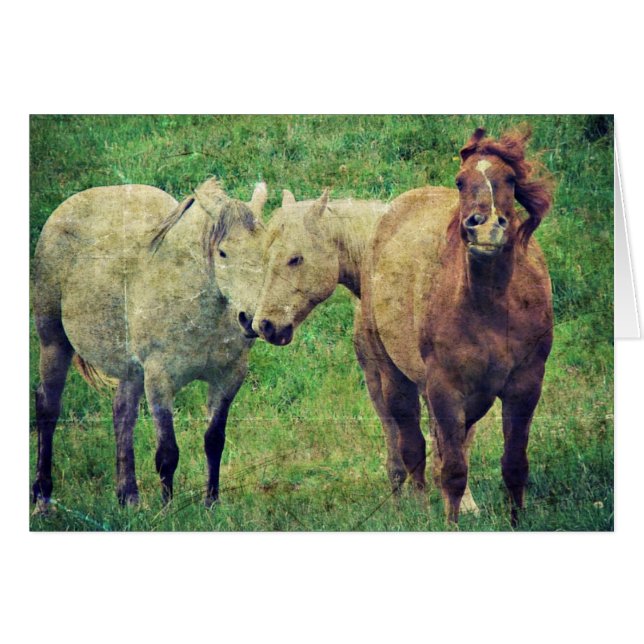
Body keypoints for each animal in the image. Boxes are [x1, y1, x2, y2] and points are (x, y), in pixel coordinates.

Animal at [31, 178, 267, 511]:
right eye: (223, 253)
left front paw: (211, 504)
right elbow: (168, 452)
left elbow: (214, 440)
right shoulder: (159, 379)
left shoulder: (229, 377)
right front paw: (167, 510)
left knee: (122, 412)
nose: (253, 320)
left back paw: (128, 496)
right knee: (48, 406)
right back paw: (42, 497)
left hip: (130, 370)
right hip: (53, 342)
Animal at [360, 127, 554, 524]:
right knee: (413, 448)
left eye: (510, 179)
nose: (485, 228)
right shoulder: (445, 389)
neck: (491, 307)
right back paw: (420, 512)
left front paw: (516, 522)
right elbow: (452, 470)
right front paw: (451, 524)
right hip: (394, 378)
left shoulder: (526, 384)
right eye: (460, 181)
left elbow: (514, 464)